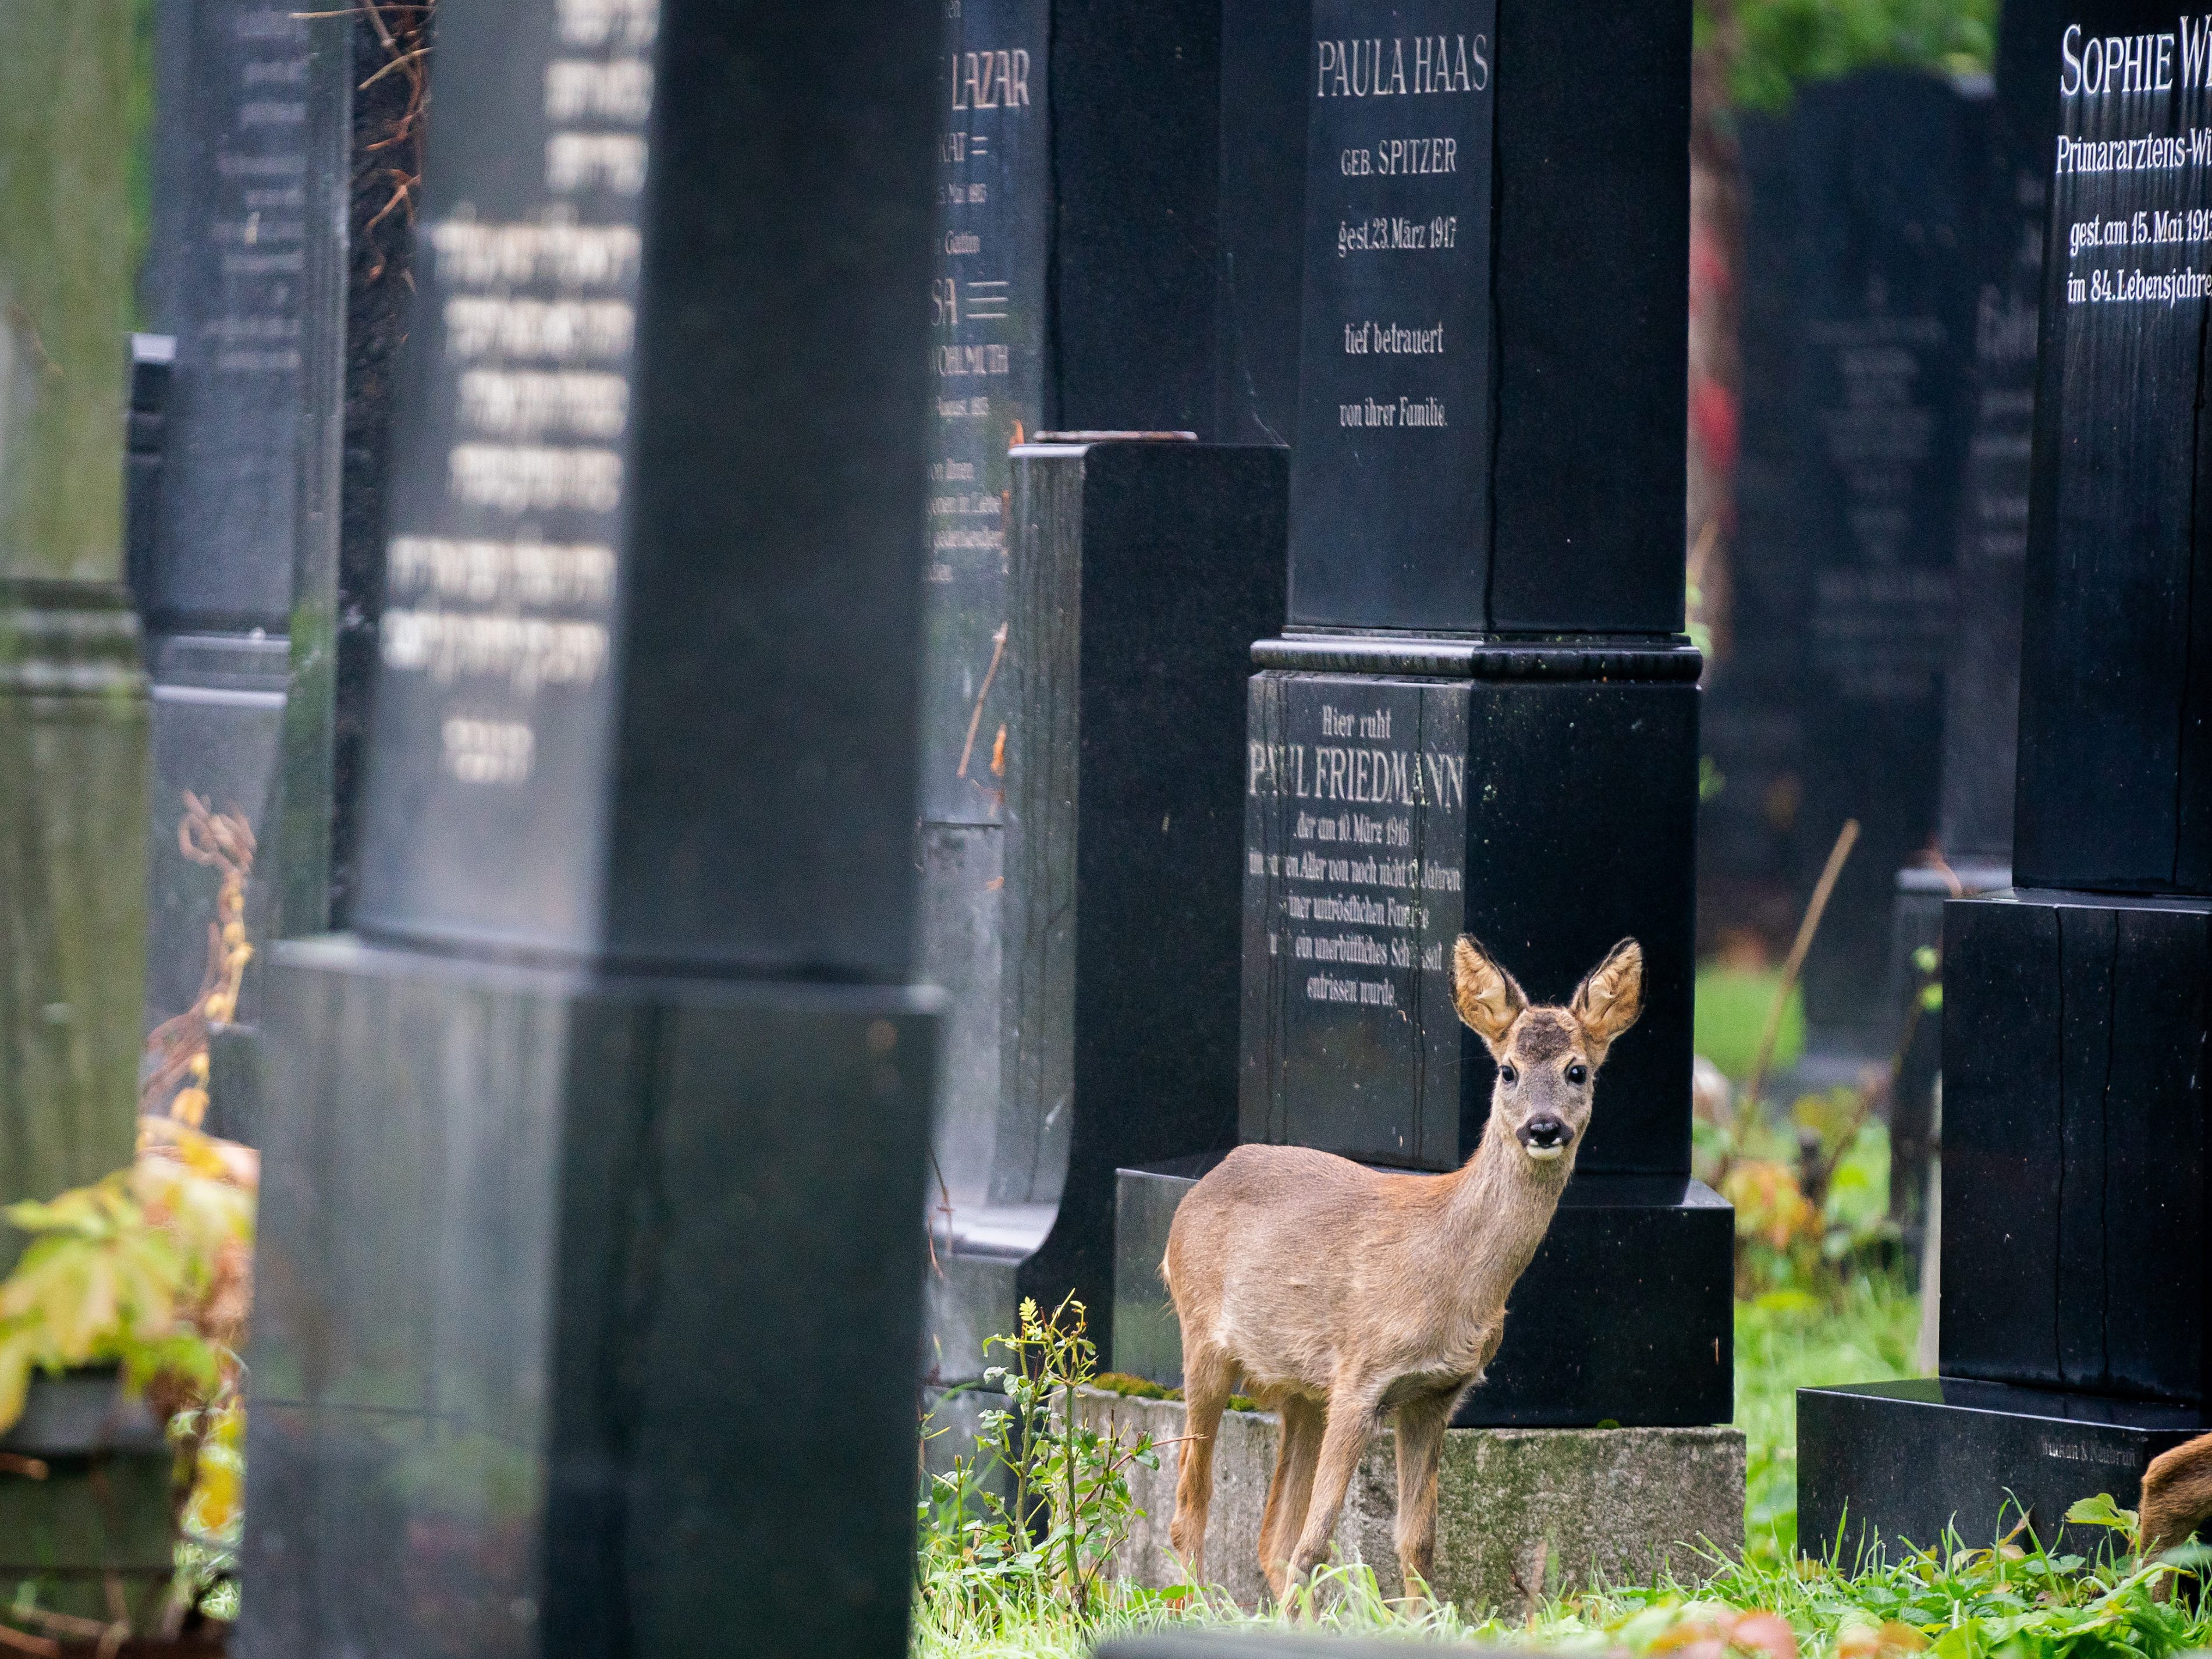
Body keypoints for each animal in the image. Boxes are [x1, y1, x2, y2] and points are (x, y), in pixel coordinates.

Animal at [1159, 937, 1645, 1601]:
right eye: (1507, 1070)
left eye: (1579, 1070)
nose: (1543, 1127)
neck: (1450, 1273)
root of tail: (1200, 1188)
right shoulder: (1360, 1376)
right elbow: (1319, 1541)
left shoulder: (1435, 1394)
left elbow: (1416, 1543)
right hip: (1202, 1339)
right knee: (1192, 1505)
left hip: (1302, 1390)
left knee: (1270, 1537)